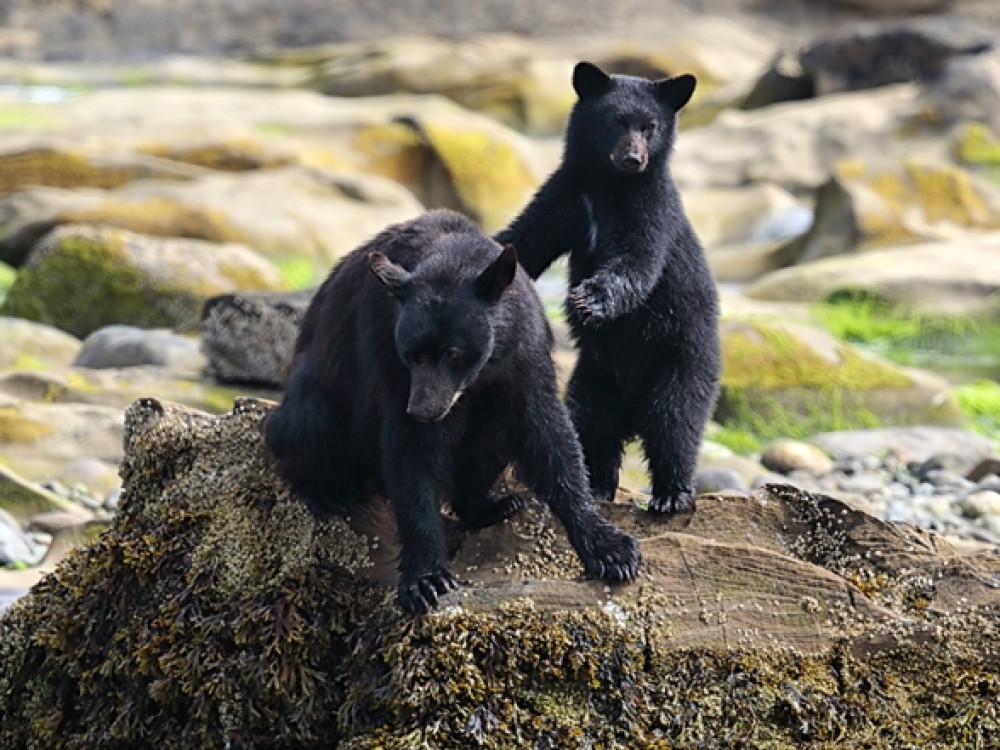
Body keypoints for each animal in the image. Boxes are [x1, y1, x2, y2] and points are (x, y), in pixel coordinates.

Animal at [264, 209, 640, 612]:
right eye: (411, 353)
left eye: (452, 352)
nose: (423, 409)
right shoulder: (388, 356)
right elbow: (411, 453)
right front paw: (425, 580)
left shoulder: (524, 353)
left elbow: (550, 437)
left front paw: (612, 550)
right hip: (317, 399)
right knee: (304, 426)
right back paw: (328, 492)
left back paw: (494, 505)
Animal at [498, 61, 720, 516]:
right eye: (616, 120)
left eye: (650, 126)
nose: (634, 158)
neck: (609, 186)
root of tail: (632, 410)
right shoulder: (565, 195)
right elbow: (526, 238)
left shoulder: (652, 210)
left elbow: (636, 261)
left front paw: (590, 299)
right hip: (594, 378)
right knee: (592, 425)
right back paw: (598, 485)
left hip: (684, 362)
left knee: (675, 422)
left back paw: (671, 494)